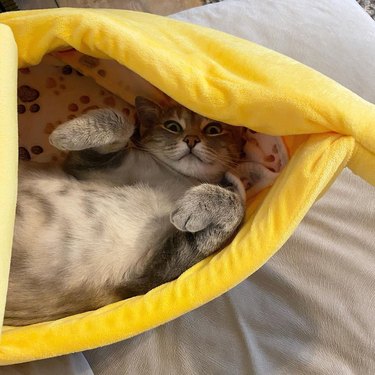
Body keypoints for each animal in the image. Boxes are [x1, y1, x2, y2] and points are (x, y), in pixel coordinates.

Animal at [5, 97, 248, 326]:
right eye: (172, 126)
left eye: (213, 129)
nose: (191, 139)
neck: (177, 179)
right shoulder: (83, 166)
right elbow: (121, 121)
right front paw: (65, 134)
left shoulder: (154, 273)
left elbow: (236, 207)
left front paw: (194, 205)